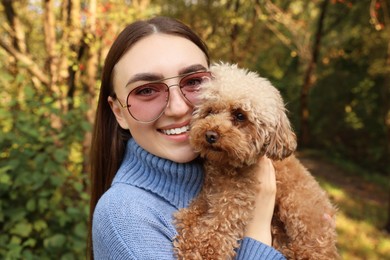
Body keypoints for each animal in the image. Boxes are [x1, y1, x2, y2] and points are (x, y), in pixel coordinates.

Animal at [174, 63, 338, 260]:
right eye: (210, 111)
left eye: (240, 115)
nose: (210, 135)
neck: (226, 168)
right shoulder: (211, 191)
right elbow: (198, 209)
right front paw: (188, 223)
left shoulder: (237, 198)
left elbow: (218, 227)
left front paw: (200, 250)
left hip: (299, 209)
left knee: (314, 251)